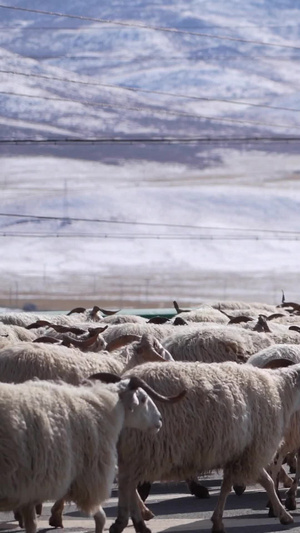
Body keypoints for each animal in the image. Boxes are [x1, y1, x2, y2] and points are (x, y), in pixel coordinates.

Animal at [0, 374, 185, 532]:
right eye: (143, 399)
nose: (160, 420)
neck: (103, 408)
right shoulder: (88, 480)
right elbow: (101, 517)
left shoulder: (29, 487)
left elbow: (32, 524)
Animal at [111, 360, 300, 528]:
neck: (281, 391)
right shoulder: (253, 451)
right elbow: (268, 482)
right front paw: (283, 514)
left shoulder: (237, 452)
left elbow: (226, 486)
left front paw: (217, 520)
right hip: (140, 446)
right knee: (128, 483)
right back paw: (136, 516)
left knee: (127, 484)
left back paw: (139, 515)